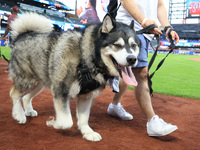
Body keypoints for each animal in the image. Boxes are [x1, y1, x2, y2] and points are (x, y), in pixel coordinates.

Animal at [8, 12, 140, 141]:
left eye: (134, 45)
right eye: (117, 45)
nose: (132, 59)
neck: (86, 57)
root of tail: (23, 35)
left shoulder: (86, 96)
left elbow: (84, 118)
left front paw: (87, 132)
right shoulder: (60, 91)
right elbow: (66, 122)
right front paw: (54, 123)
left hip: (39, 83)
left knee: (26, 97)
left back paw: (28, 111)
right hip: (26, 81)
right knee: (14, 94)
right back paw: (19, 115)